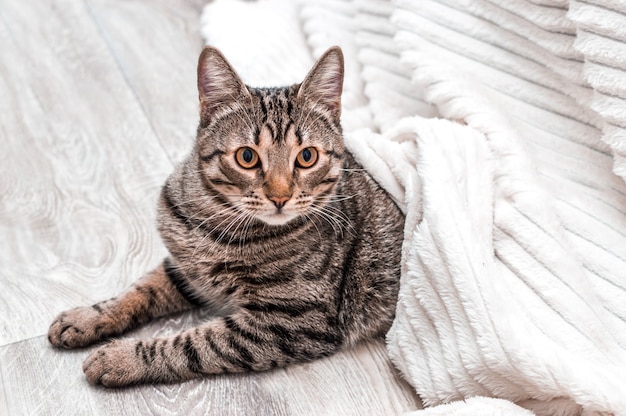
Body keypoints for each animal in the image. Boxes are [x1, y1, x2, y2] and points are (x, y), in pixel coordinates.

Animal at [48, 44, 402, 386]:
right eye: (246, 156)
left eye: (307, 157)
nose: (280, 196)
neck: (216, 225)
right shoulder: (185, 270)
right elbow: (140, 289)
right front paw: (86, 317)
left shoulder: (291, 321)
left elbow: (193, 343)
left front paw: (121, 358)